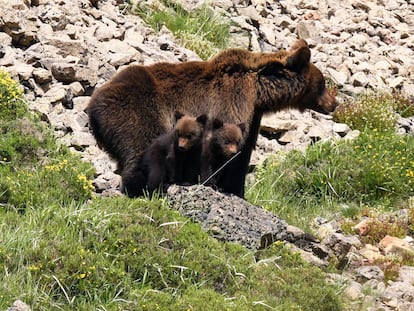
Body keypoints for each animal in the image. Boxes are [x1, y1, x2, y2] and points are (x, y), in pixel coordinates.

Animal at [87, 40, 336, 199]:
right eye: (323, 83)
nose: (334, 103)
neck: (258, 93)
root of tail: (92, 103)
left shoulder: (252, 117)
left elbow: (242, 156)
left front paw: (237, 191)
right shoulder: (231, 104)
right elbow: (222, 153)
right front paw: (217, 185)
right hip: (136, 114)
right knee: (142, 150)